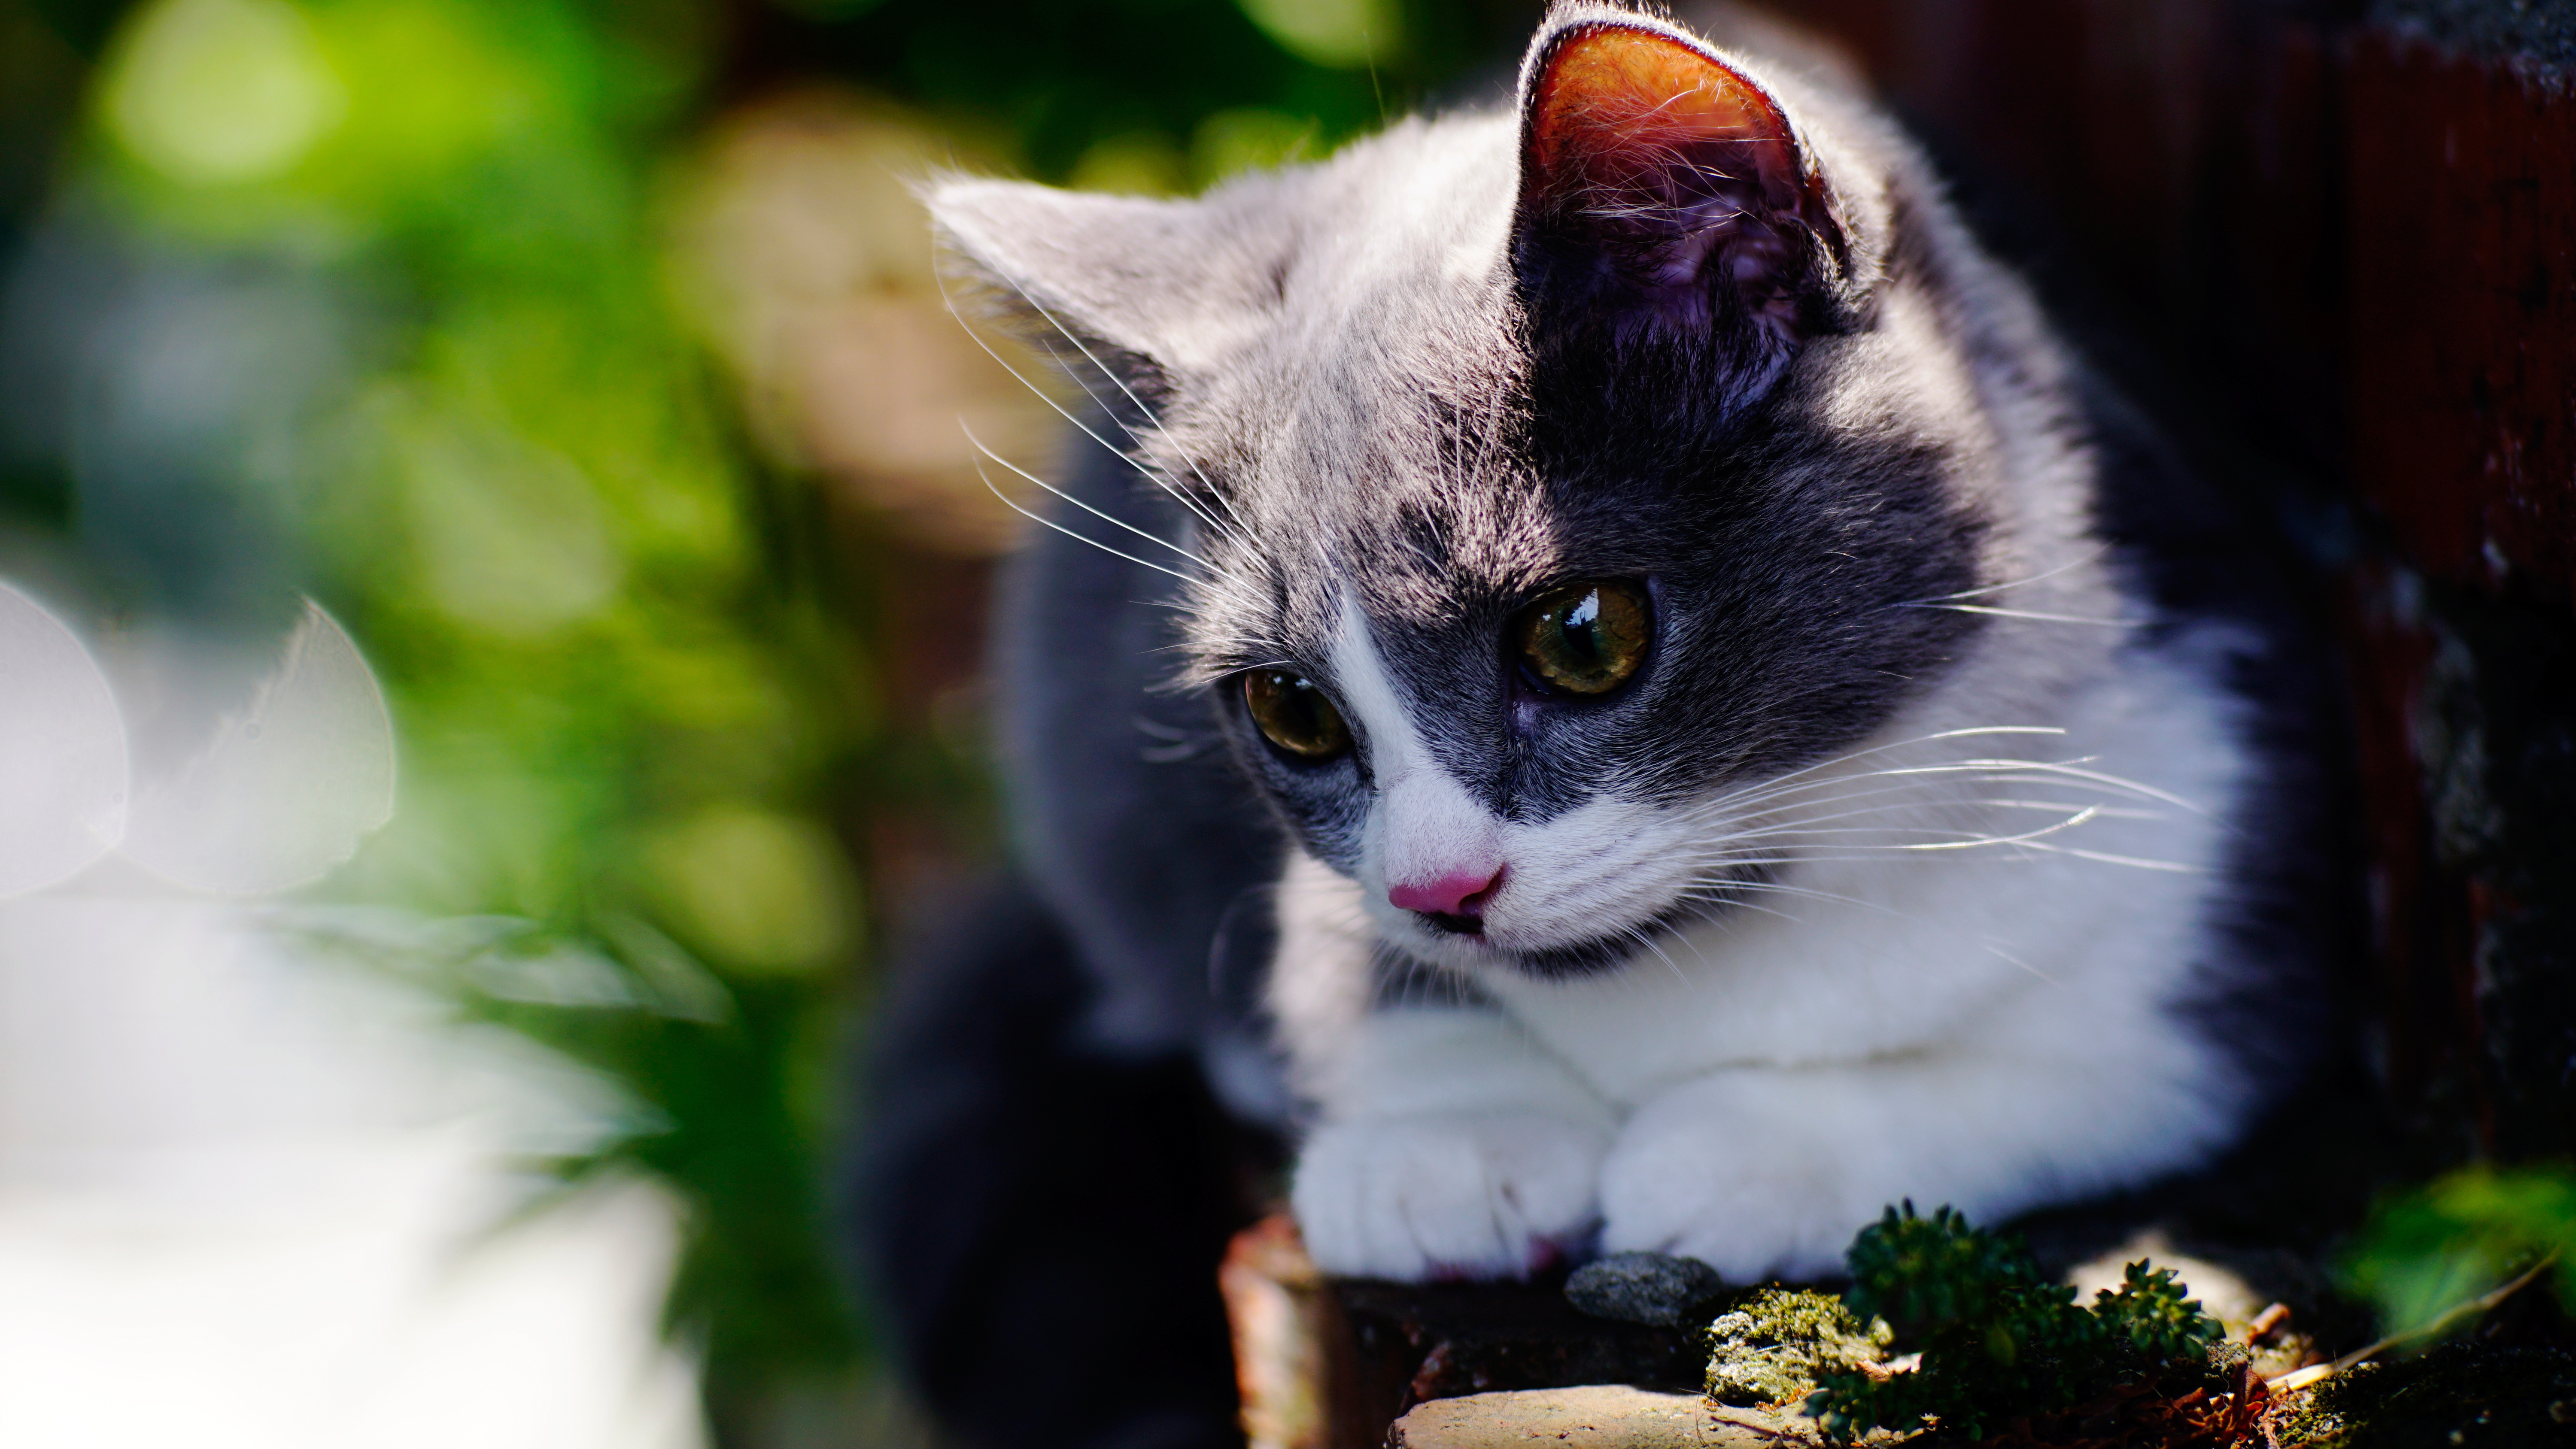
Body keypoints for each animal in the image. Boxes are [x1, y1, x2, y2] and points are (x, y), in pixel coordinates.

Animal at [907, 0, 2339, 1307]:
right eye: (1291, 710)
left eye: (1582, 637)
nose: (1441, 889)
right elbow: (1327, 971)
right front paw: (1443, 1140)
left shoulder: (2213, 797)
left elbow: (2112, 1070)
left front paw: (1760, 1149)